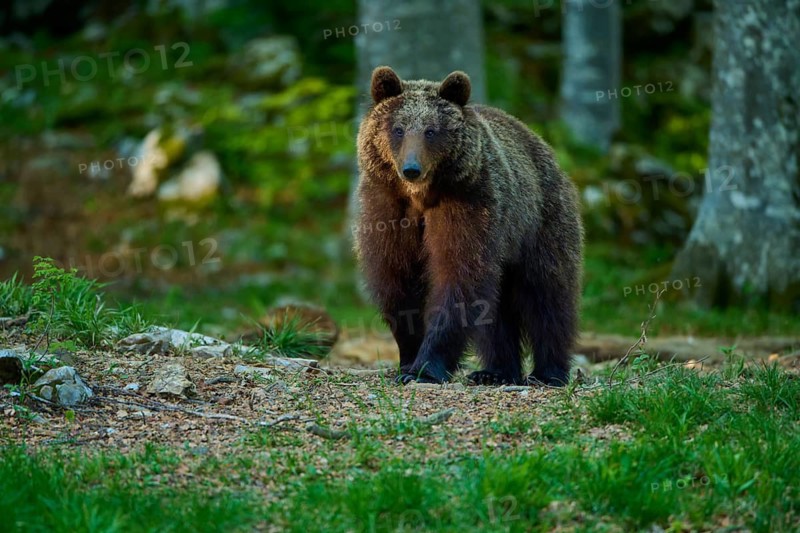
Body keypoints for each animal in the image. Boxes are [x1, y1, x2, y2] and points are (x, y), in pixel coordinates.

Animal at [354, 66, 583, 386]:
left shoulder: (469, 203)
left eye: (431, 130)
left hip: (540, 222)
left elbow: (459, 276)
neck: (420, 196)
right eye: (398, 129)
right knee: (497, 308)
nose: (411, 169)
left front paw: (426, 368)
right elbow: (396, 279)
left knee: (546, 295)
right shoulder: (386, 209)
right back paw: (495, 371)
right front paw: (408, 360)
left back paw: (548, 372)